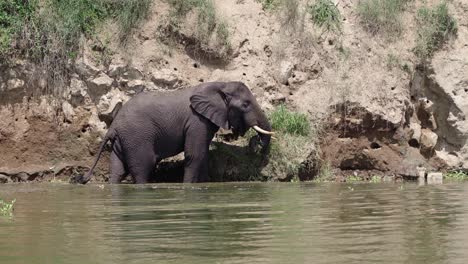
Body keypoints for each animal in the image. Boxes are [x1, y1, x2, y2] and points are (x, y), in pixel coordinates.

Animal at [74, 81, 274, 185]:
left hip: (122, 141)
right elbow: (195, 155)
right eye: (245, 105)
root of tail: (113, 126)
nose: (255, 143)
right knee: (143, 167)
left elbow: (203, 155)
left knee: (117, 170)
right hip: (136, 138)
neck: (220, 84)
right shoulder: (196, 120)